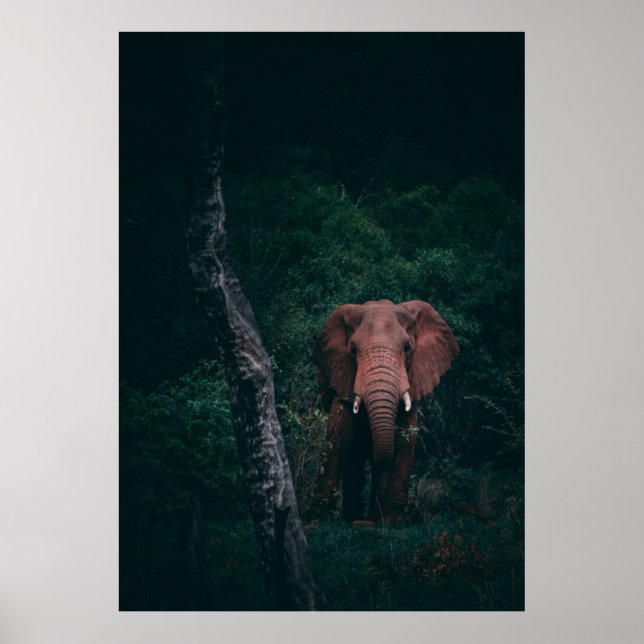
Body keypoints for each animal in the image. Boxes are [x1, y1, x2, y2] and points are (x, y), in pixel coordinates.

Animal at [312, 299, 459, 525]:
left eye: (407, 348)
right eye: (352, 349)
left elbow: (406, 436)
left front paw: (391, 522)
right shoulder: (341, 372)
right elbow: (338, 433)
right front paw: (320, 520)